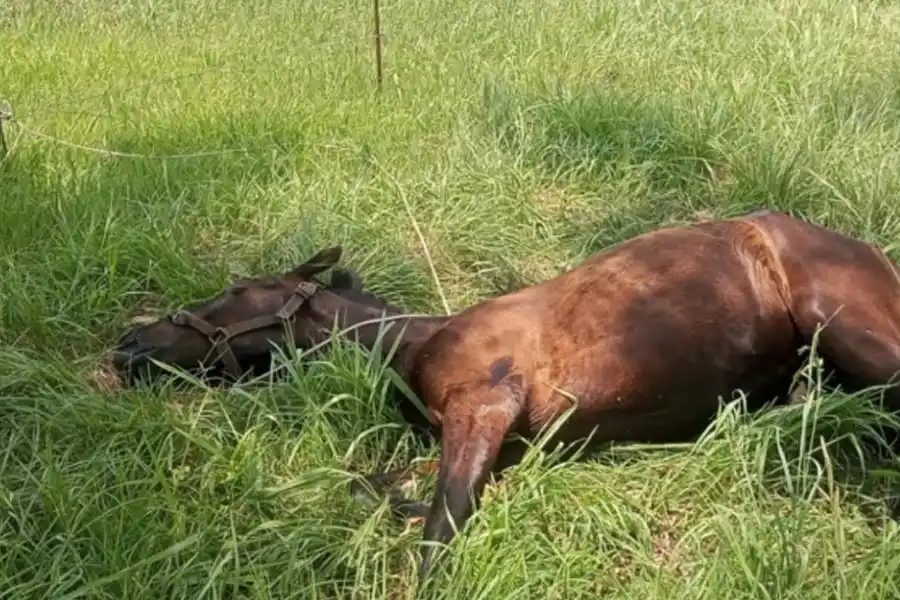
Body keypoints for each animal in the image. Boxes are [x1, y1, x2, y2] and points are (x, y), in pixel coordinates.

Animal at [108, 209, 900, 584]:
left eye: (238, 290)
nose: (129, 346)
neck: (414, 343)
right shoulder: (494, 441)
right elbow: (382, 487)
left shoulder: (486, 408)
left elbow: (437, 533)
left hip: (850, 328)